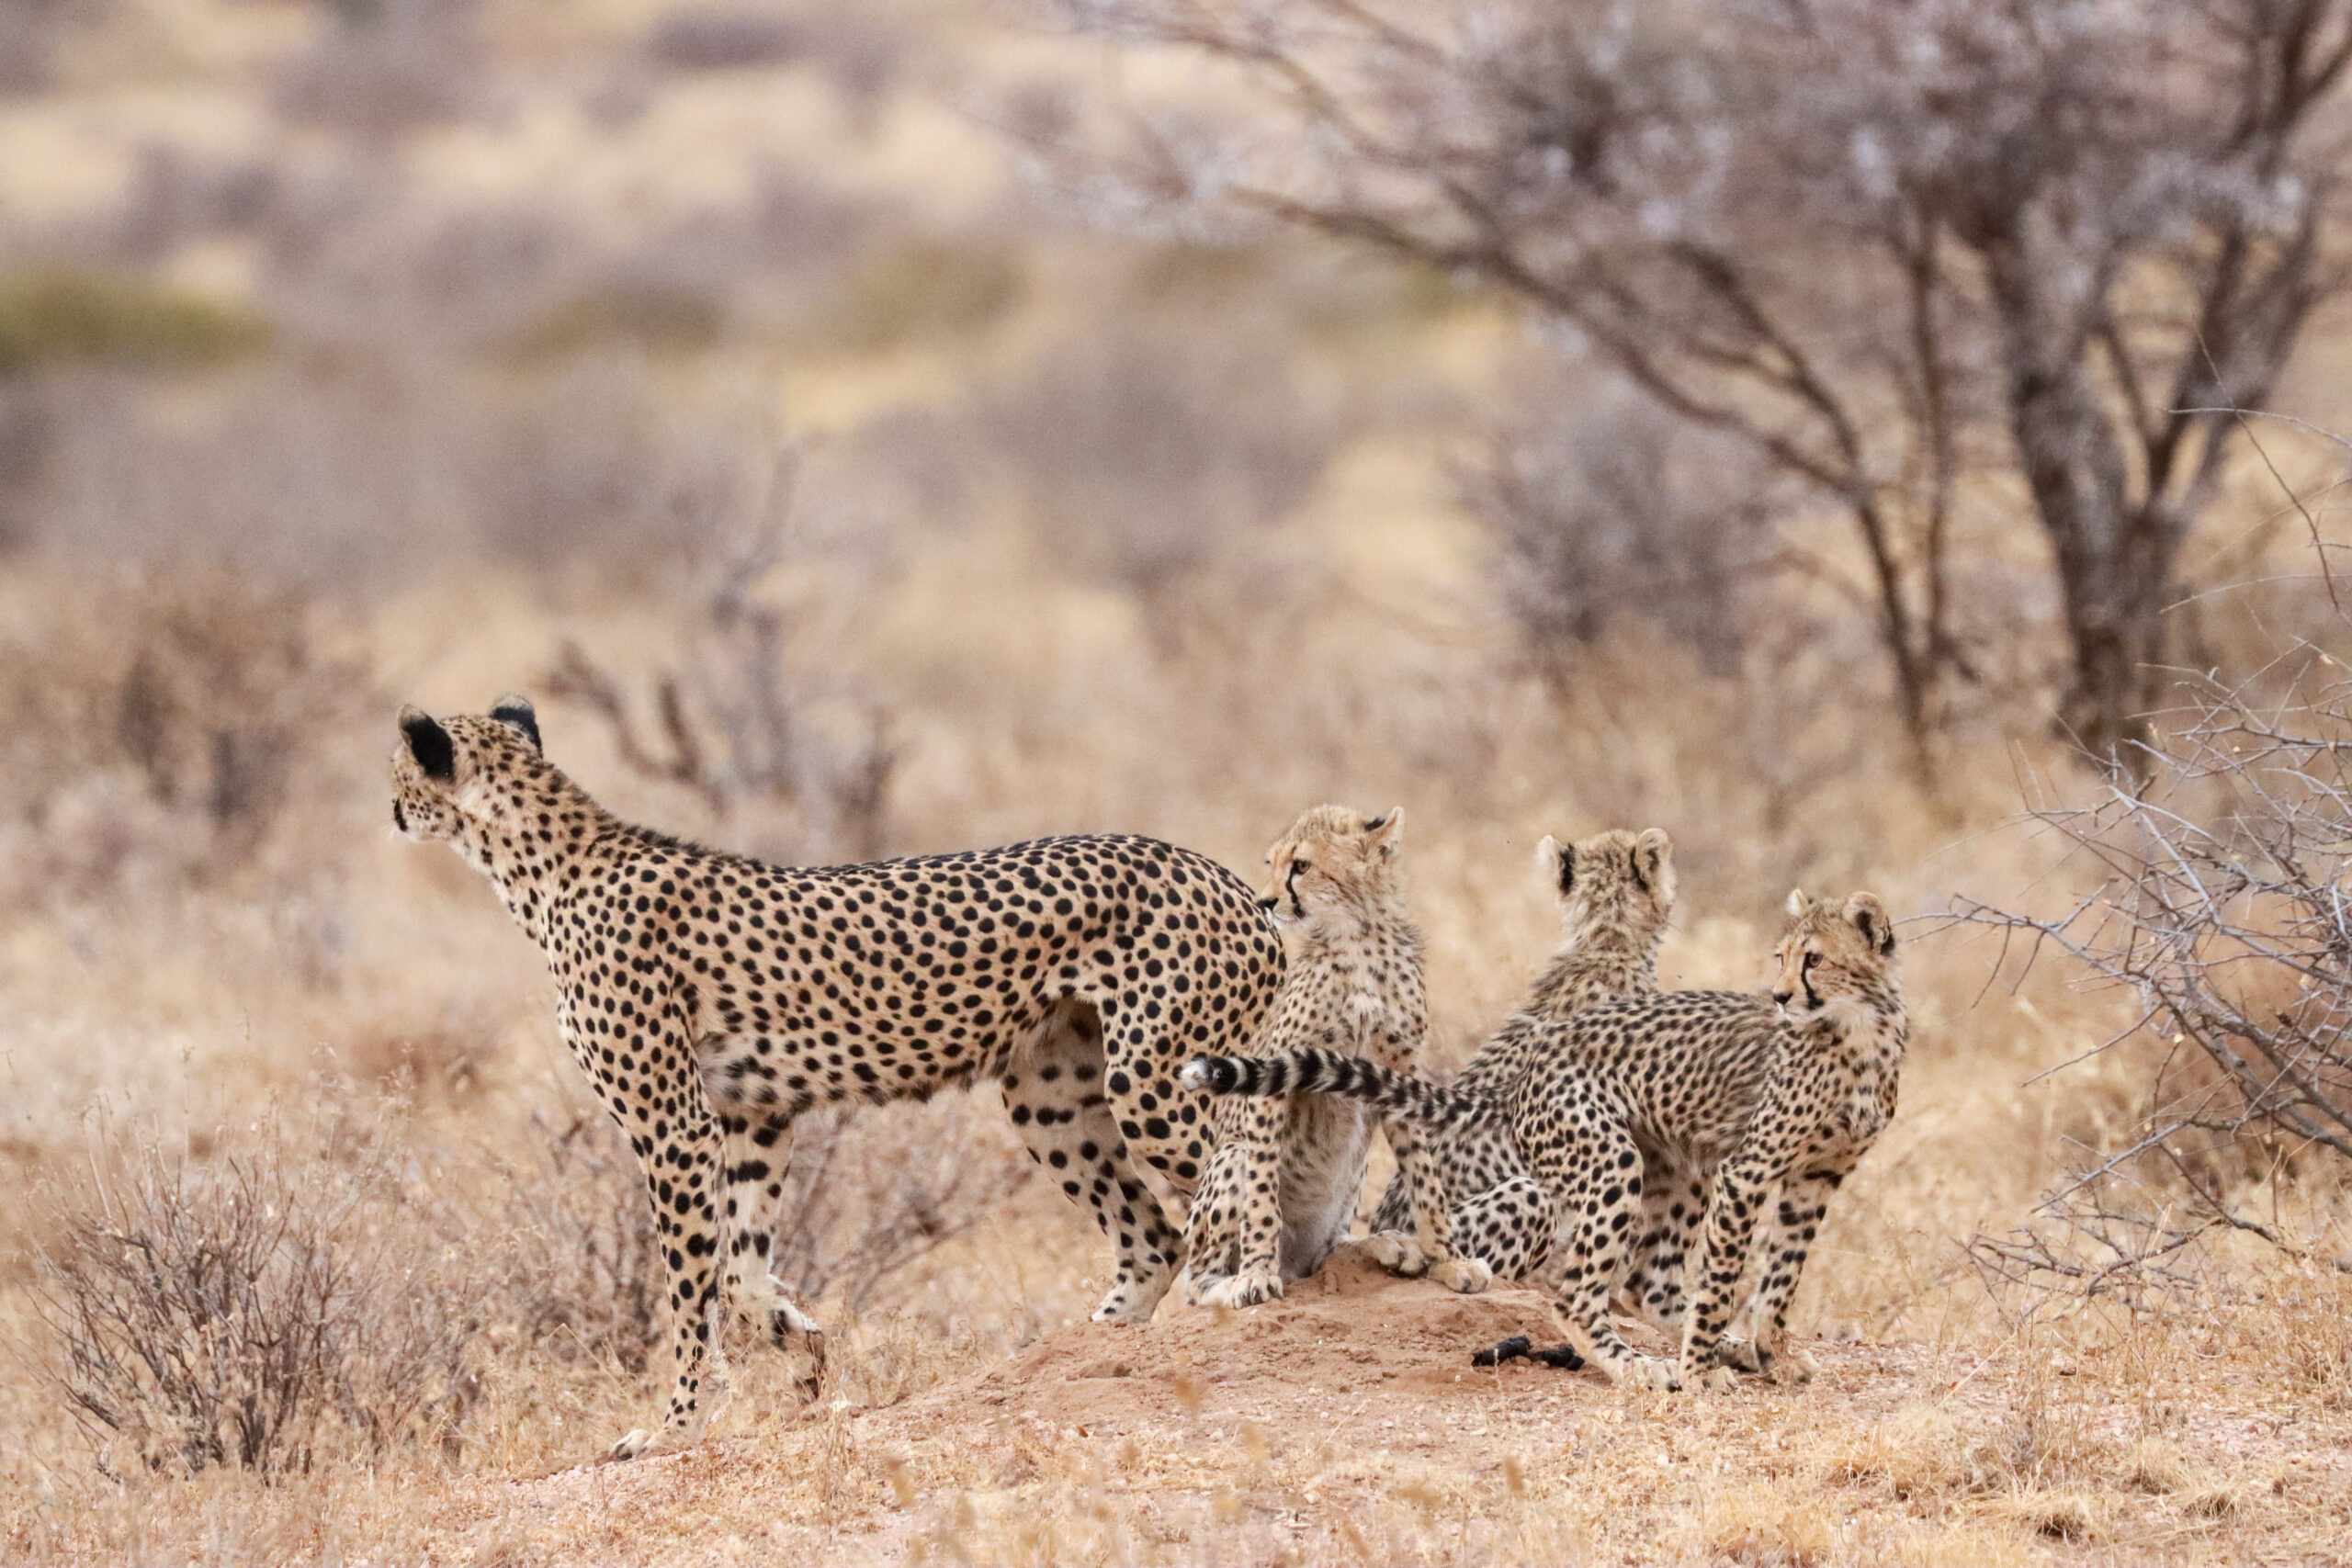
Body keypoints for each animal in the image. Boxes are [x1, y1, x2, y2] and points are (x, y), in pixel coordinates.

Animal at [400, 700, 1288, 1457]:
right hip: (1049, 1093)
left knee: (1241, 1168)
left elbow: (687, 1288)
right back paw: (1088, 1344)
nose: (392, 810)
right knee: (1154, 1232)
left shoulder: (673, 1126)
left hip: (1155, 1079)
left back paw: (1263, 1285)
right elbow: (739, 1268)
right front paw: (801, 1348)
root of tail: (1235, 883)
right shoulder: (751, 1113)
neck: (544, 864)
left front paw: (677, 1422)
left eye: (398, 772)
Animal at [1194, 888, 1909, 1392]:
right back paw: (1640, 1366)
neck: (1859, 1030)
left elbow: (1782, 1277)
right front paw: (1704, 1371)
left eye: (1815, 959)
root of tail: (1530, 1061)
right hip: (1611, 1158)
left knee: (1647, 1282)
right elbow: (1725, 1277)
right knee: (1577, 1293)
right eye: (1782, 957)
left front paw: (1771, 1353)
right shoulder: (1750, 1170)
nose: (1782, 995)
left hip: (1676, 1161)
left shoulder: (1816, 1177)